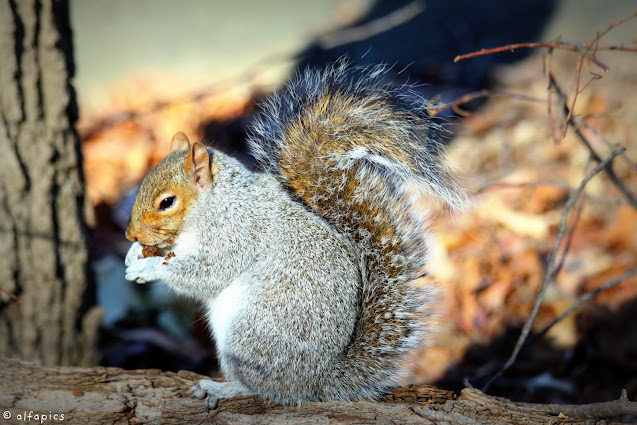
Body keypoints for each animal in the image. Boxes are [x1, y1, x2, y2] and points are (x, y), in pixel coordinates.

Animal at [124, 61, 464, 406]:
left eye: (167, 202)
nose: (129, 235)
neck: (215, 203)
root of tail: (319, 380)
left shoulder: (236, 233)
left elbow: (206, 273)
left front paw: (149, 267)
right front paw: (134, 255)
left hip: (250, 334)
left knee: (263, 387)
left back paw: (224, 387)